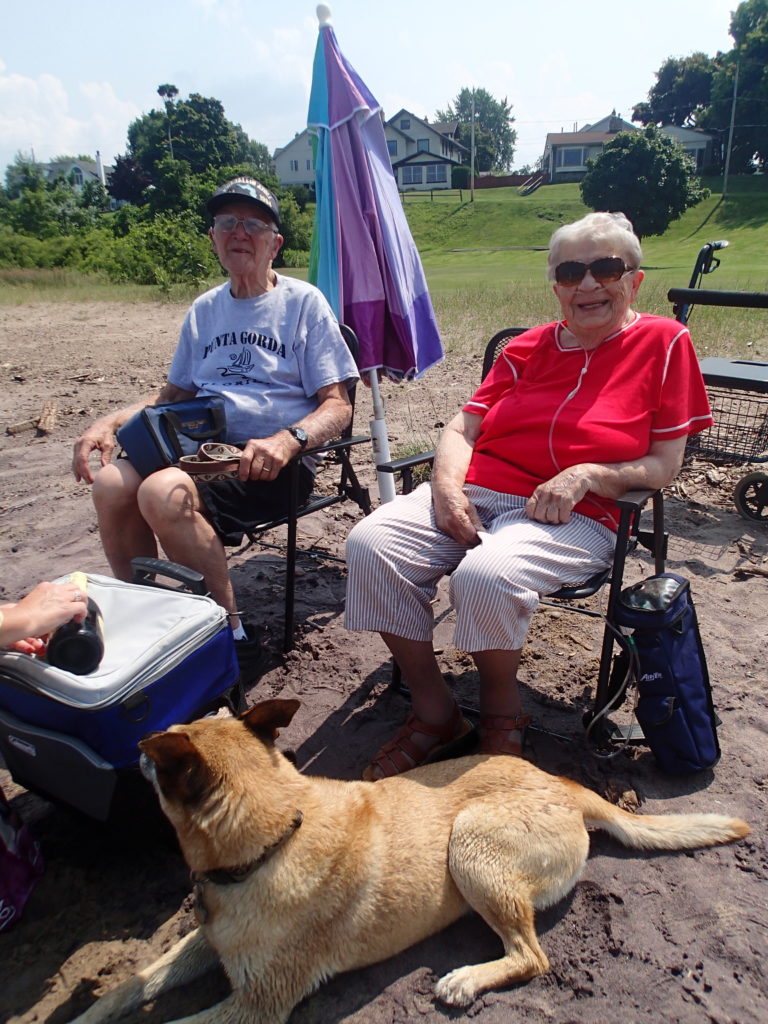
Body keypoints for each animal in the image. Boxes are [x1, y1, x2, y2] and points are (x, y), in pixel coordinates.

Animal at [70, 696, 745, 1024]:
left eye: (158, 759)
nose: (135, 747)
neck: (273, 838)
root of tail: (566, 784)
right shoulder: (207, 944)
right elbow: (132, 985)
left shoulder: (257, 1006)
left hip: (470, 845)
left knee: (532, 957)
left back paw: (467, 980)